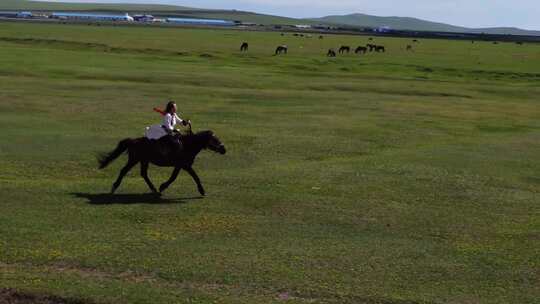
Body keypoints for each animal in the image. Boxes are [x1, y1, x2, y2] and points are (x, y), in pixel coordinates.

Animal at [98, 128, 226, 195]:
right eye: (215, 139)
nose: (224, 149)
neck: (187, 145)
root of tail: (133, 141)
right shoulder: (184, 165)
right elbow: (194, 176)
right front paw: (202, 191)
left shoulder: (179, 166)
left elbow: (174, 177)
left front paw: (161, 187)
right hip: (134, 160)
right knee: (124, 171)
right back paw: (114, 188)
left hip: (144, 160)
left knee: (143, 174)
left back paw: (154, 189)